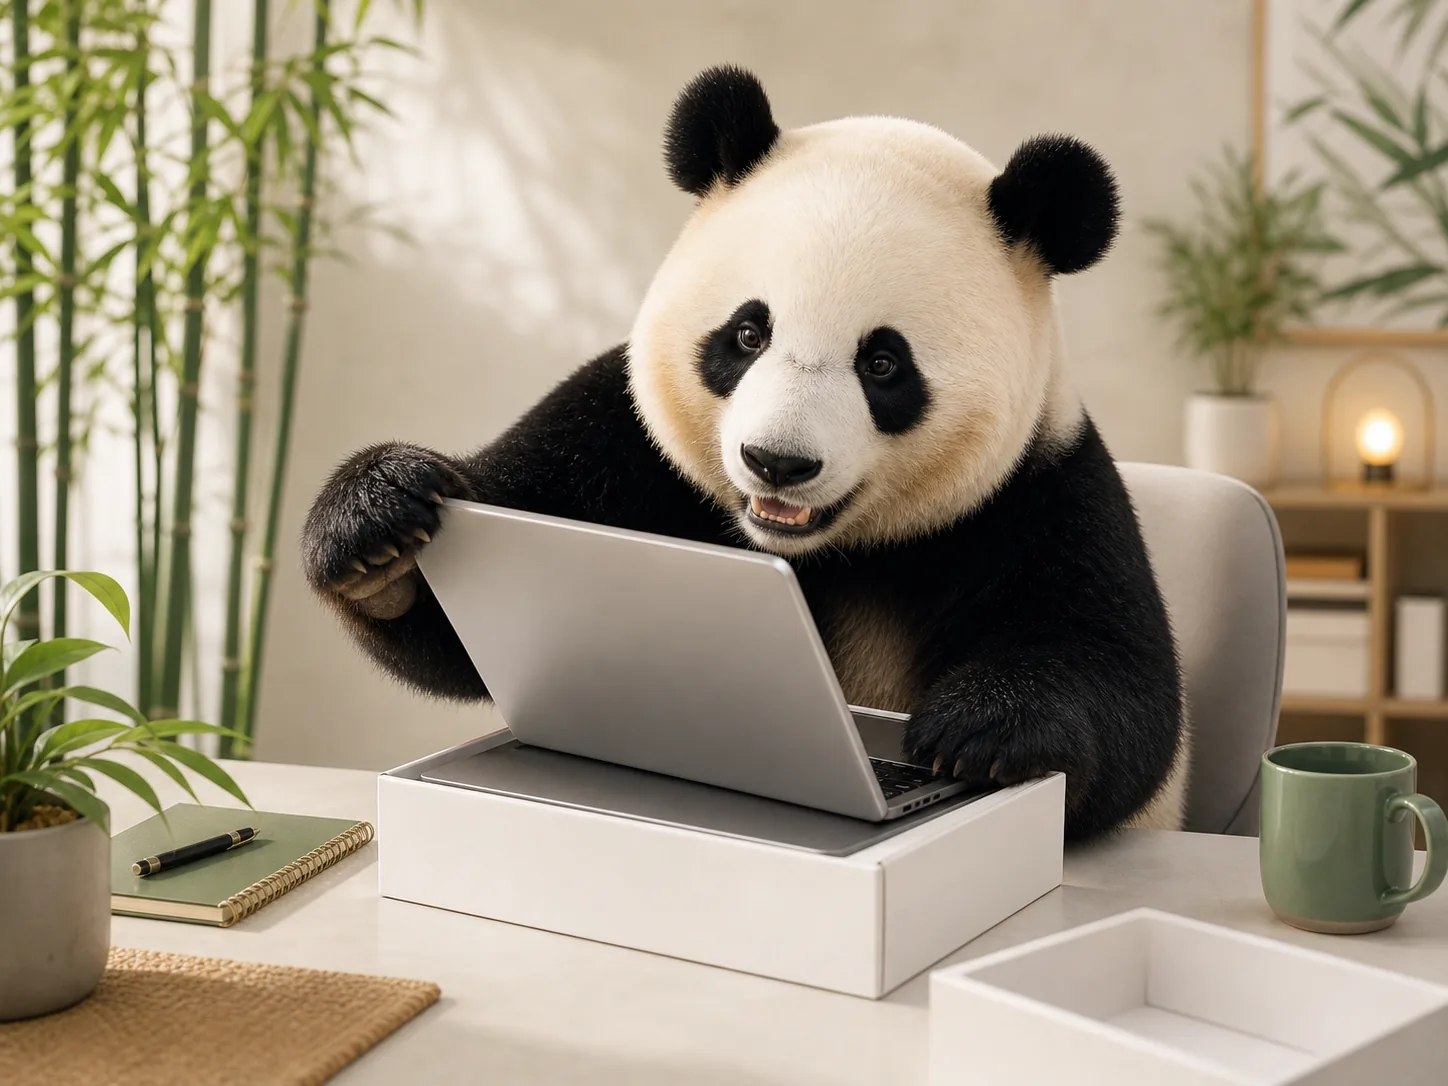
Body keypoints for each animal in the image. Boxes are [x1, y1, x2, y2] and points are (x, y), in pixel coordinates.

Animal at [301, 66, 1188, 842]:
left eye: (883, 363)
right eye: (748, 333)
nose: (777, 463)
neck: (826, 550)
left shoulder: (1037, 489)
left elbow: (1119, 688)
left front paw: (979, 730)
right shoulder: (621, 440)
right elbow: (469, 606)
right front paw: (375, 532)